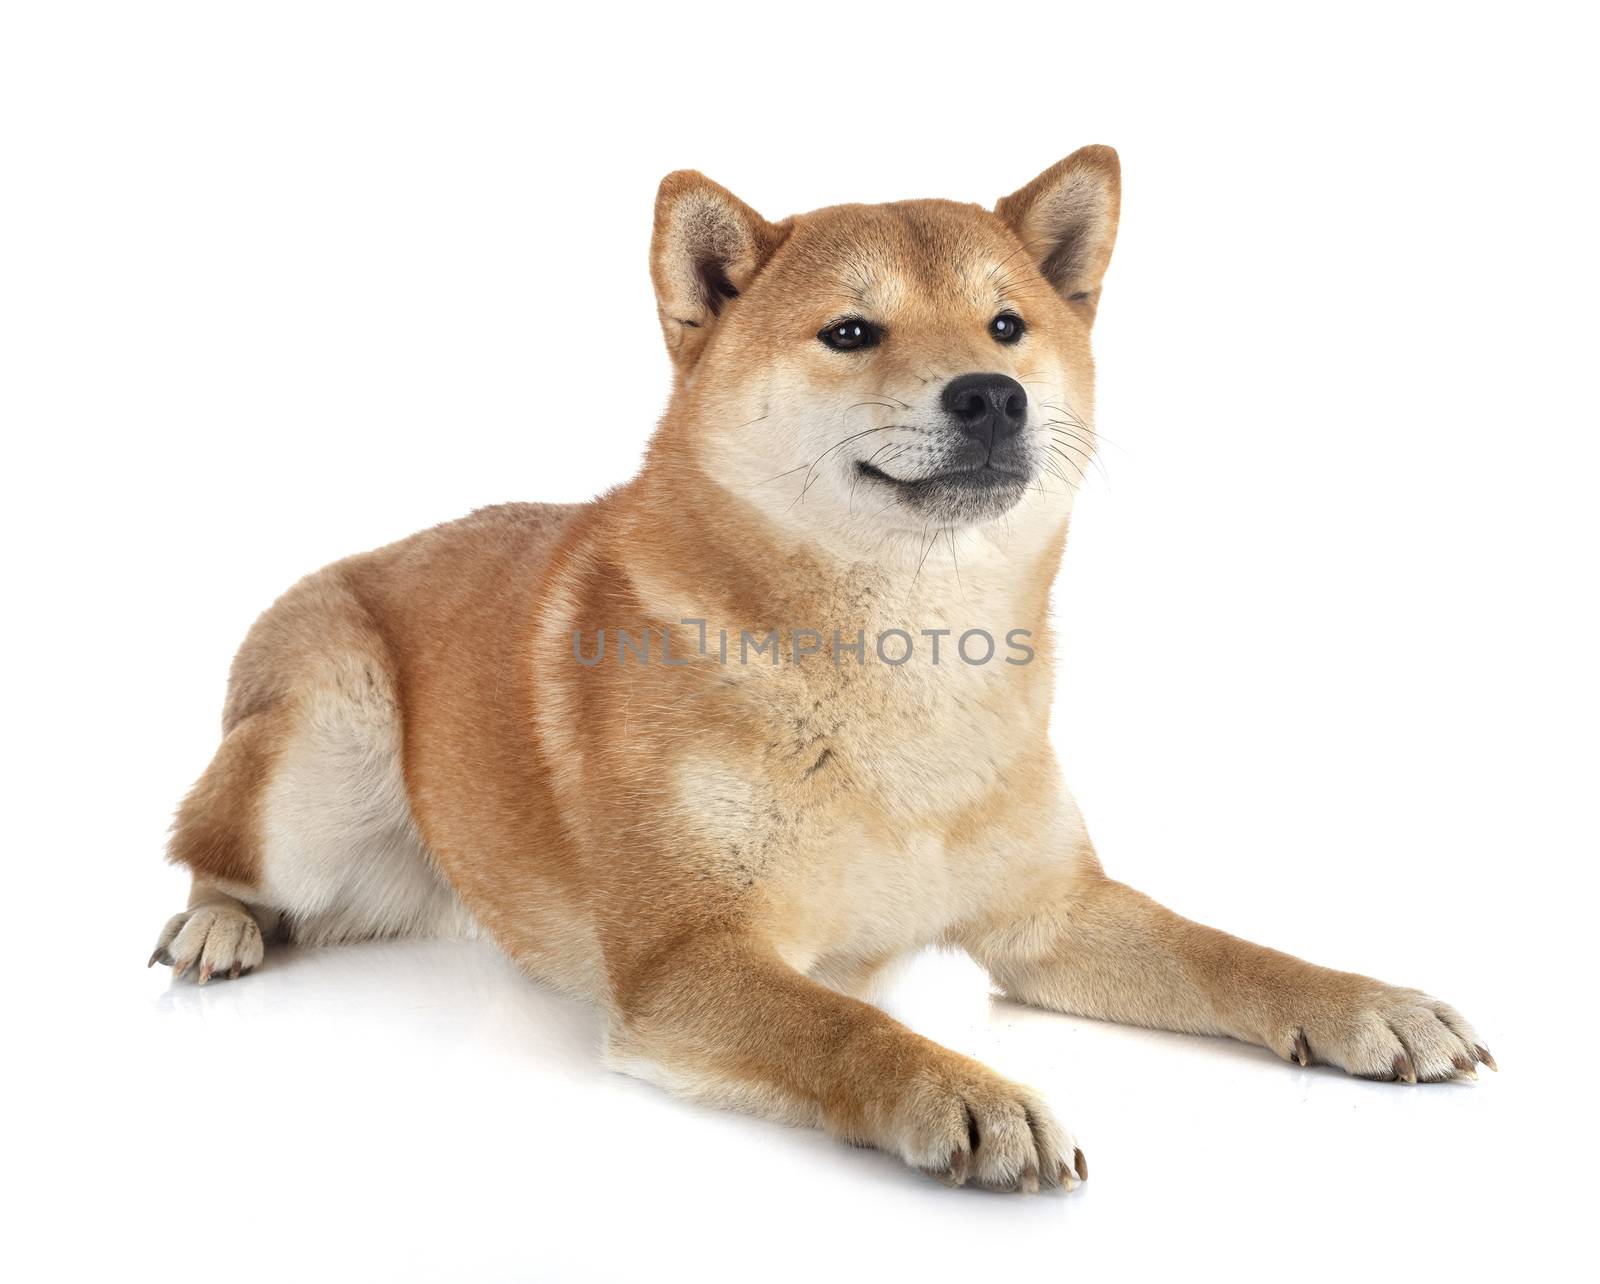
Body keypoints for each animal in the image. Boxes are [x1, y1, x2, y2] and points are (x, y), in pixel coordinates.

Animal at [150, 150, 1484, 1191]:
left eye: (1007, 326)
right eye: (852, 332)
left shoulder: (1051, 914)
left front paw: (1364, 1001)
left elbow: (1227, 953)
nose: (990, 393)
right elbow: (845, 1026)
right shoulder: (690, 957)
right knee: (214, 854)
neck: (909, 677)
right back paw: (217, 929)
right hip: (327, 736)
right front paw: (963, 1091)